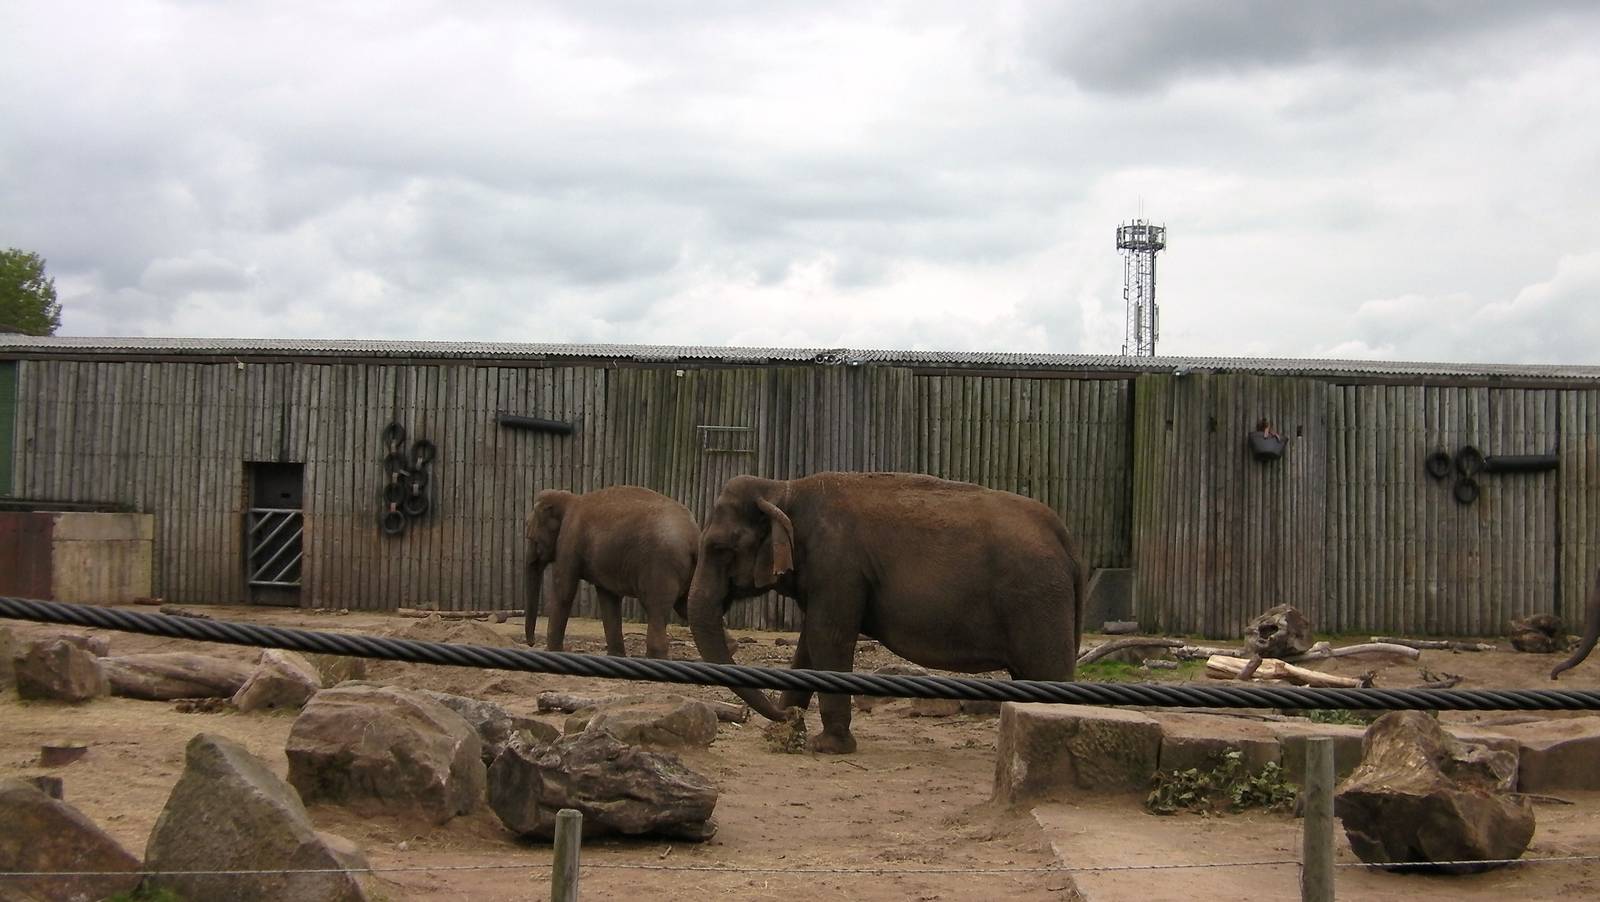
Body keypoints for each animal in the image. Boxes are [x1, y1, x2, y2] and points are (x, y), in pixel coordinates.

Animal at [524, 485, 698, 659]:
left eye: (532, 538)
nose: (531, 643)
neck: (568, 499)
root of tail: (694, 537)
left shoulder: (569, 539)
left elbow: (564, 592)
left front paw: (552, 652)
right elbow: (608, 599)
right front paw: (616, 656)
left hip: (661, 567)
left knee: (657, 609)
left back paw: (656, 658)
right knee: (686, 607)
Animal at [686, 471, 1087, 754]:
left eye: (720, 548)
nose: (786, 717)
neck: (782, 489)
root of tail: (1065, 537)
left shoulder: (838, 564)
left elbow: (828, 637)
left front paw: (827, 746)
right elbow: (809, 641)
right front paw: (785, 732)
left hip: (1037, 600)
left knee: (1047, 673)